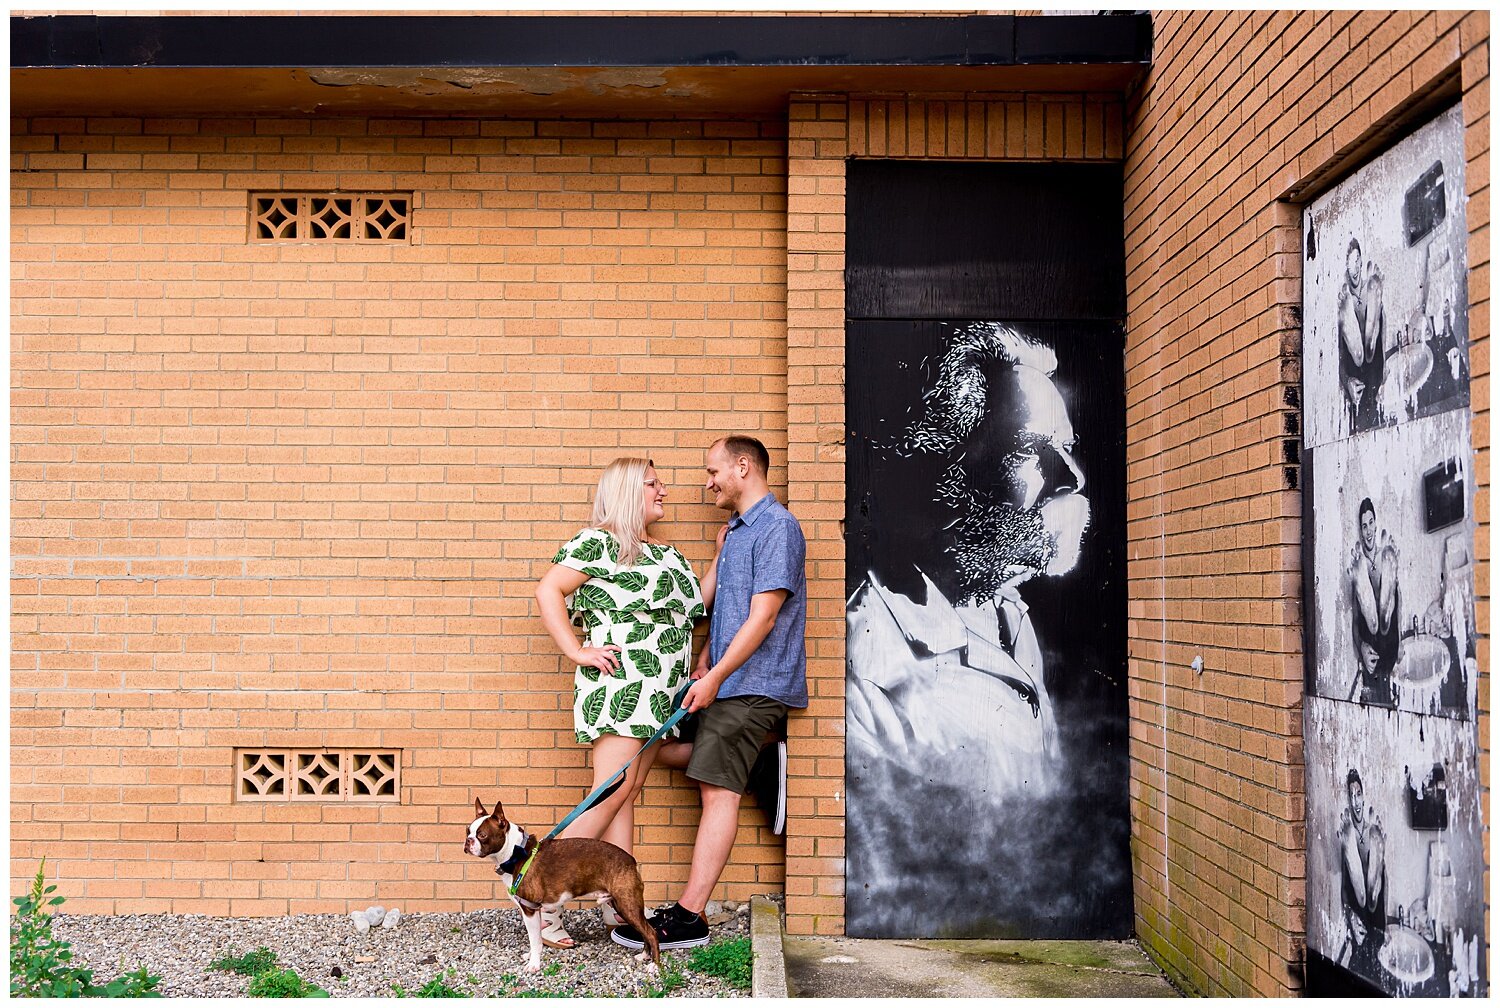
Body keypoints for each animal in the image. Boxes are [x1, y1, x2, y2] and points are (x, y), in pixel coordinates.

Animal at [462, 798, 663, 972]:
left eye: (482, 835)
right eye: (467, 831)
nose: (468, 841)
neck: (515, 853)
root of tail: (631, 860)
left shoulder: (529, 908)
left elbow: (534, 939)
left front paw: (534, 965)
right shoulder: (532, 910)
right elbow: (536, 939)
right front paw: (533, 956)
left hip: (627, 904)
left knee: (651, 932)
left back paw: (654, 965)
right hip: (621, 905)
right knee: (644, 930)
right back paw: (644, 956)